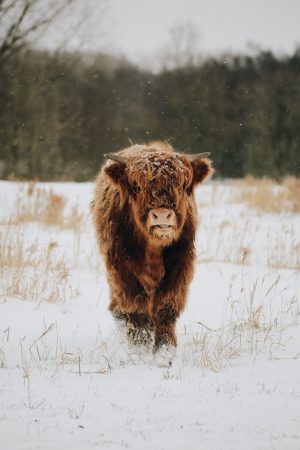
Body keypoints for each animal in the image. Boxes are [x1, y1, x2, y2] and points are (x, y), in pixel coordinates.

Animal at [92, 142, 212, 354]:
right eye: (137, 186)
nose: (162, 215)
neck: (153, 247)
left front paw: (165, 350)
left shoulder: (180, 265)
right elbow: (137, 309)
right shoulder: (122, 269)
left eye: (182, 185)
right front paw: (140, 348)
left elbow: (166, 307)